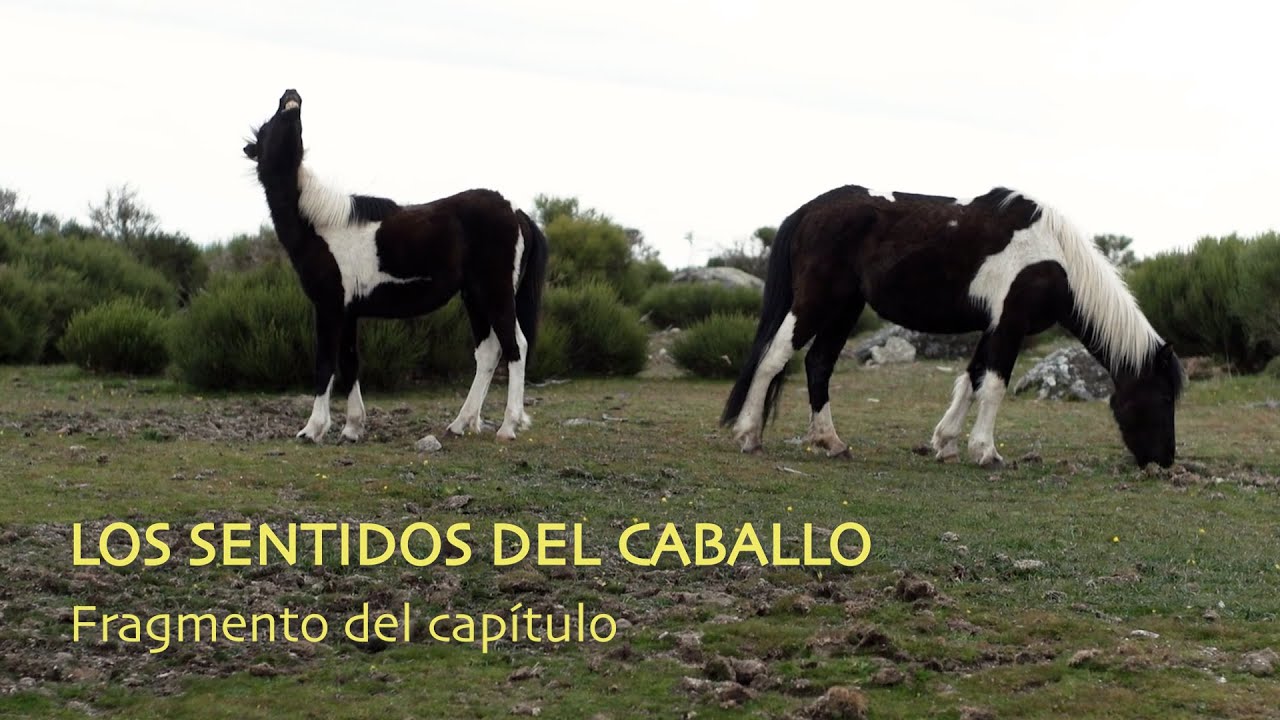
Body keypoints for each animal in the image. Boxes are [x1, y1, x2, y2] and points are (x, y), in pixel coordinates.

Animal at [243, 89, 548, 444]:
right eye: (267, 127)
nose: (290, 96)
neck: (319, 225)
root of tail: (515, 212)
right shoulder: (348, 311)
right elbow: (349, 363)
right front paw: (352, 428)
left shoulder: (329, 307)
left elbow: (325, 364)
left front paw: (312, 429)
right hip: (475, 297)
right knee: (488, 352)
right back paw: (460, 423)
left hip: (495, 294)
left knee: (515, 347)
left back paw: (508, 426)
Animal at [722, 185, 1184, 468]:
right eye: (1163, 398)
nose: (1165, 460)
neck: (1055, 259)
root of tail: (809, 210)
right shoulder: (1010, 325)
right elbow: (994, 386)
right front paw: (986, 452)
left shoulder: (992, 326)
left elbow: (971, 380)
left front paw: (945, 443)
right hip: (818, 303)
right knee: (773, 358)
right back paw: (748, 435)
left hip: (845, 308)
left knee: (818, 363)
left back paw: (830, 442)